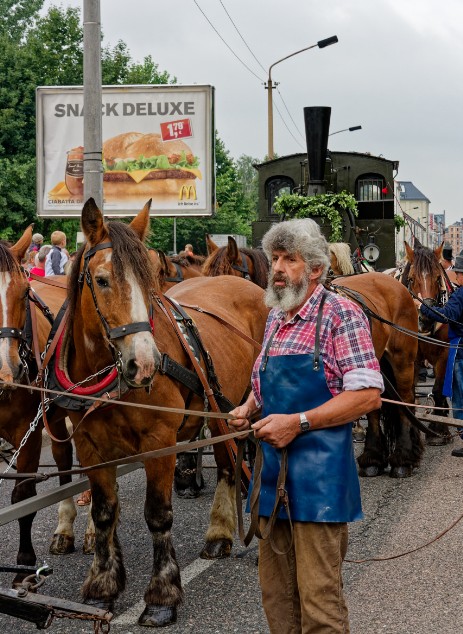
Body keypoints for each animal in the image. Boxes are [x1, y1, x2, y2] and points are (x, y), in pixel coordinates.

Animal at [57, 200, 268, 624]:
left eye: (150, 283)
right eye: (101, 280)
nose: (145, 364)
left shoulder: (159, 443)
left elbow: (157, 514)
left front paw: (161, 596)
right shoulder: (90, 446)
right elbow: (104, 513)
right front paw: (101, 588)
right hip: (221, 408)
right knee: (226, 464)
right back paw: (220, 533)